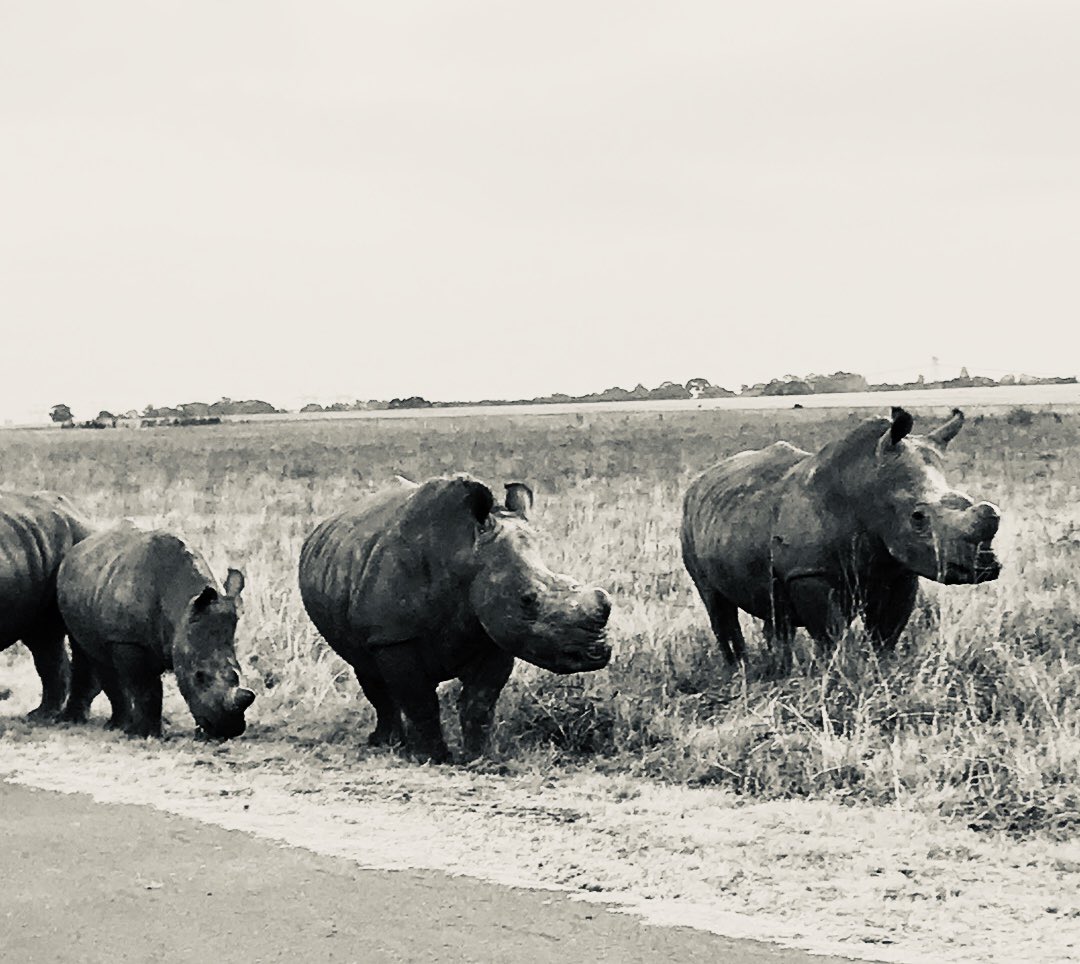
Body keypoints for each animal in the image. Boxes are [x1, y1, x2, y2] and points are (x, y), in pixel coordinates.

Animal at [57, 525, 255, 738]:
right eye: (199, 676)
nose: (228, 730)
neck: (180, 605)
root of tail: (77, 549)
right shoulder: (128, 640)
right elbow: (146, 688)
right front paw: (147, 734)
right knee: (97, 657)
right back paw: (117, 725)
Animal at [298, 475, 612, 762]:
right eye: (527, 600)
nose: (597, 653)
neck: (466, 555)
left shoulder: (495, 632)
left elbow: (480, 702)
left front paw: (480, 758)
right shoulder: (393, 636)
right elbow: (420, 700)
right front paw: (433, 758)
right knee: (366, 669)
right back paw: (386, 744)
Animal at [681, 408, 1001, 663]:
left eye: (966, 500)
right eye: (918, 517)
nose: (985, 565)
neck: (867, 484)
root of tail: (700, 481)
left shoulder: (900, 569)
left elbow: (887, 631)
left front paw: (882, 669)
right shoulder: (809, 573)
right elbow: (831, 634)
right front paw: (838, 672)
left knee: (775, 611)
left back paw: (778, 668)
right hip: (689, 523)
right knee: (716, 603)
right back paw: (739, 670)